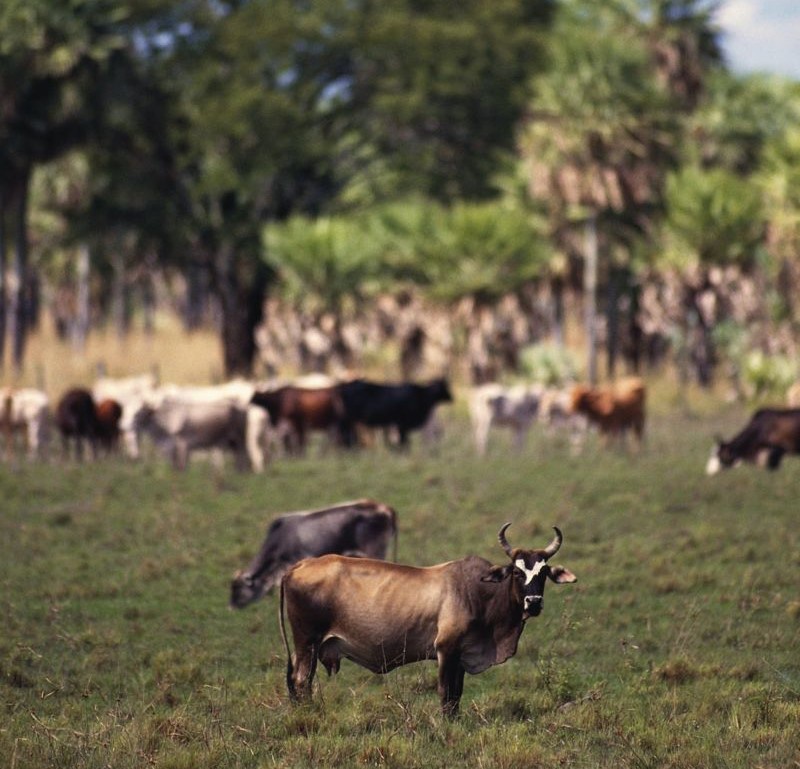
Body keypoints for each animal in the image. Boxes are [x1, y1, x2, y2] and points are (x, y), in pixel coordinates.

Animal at [276, 520, 576, 712]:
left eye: (543, 573)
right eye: (516, 571)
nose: (533, 602)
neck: (478, 593)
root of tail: (298, 566)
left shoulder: (462, 656)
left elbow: (457, 695)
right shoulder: (445, 650)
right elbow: (446, 694)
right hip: (307, 642)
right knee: (302, 681)